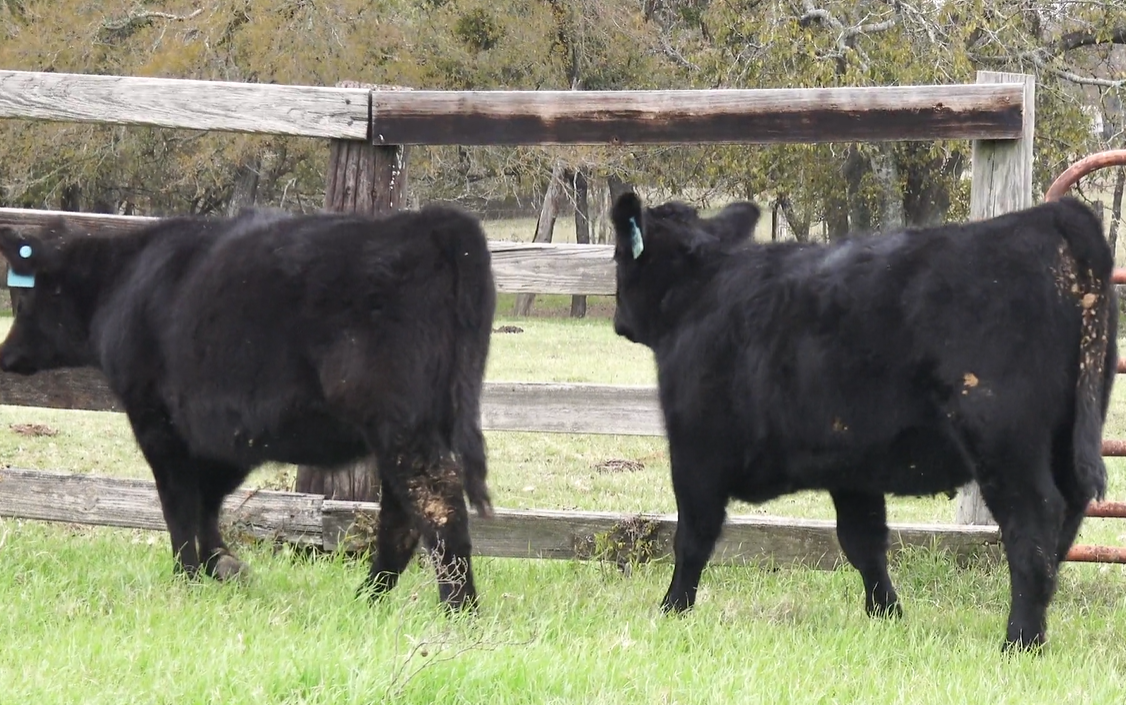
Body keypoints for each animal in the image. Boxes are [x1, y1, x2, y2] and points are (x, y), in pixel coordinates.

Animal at [0, 204, 497, 610]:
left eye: (22, 298)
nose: (7, 355)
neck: (122, 284)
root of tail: (432, 223)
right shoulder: (225, 439)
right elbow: (207, 505)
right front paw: (225, 568)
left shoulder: (158, 422)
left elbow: (179, 506)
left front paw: (188, 580)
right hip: (410, 426)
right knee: (401, 515)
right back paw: (368, 600)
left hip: (401, 424)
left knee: (435, 503)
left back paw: (460, 611)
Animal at [609, 191, 1117, 651]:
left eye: (617, 256)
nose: (618, 320)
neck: (698, 293)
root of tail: (1050, 215)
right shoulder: (850, 465)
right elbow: (864, 541)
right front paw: (886, 614)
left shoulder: (696, 450)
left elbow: (693, 537)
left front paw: (673, 607)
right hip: (1065, 438)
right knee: (1064, 523)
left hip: (1004, 440)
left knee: (1033, 524)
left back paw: (1020, 641)